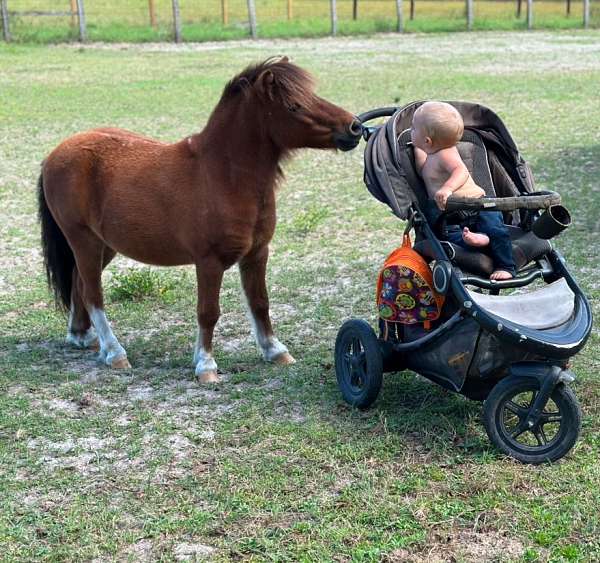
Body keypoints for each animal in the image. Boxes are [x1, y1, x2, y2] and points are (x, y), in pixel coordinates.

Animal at [39, 56, 364, 384]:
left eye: (314, 95)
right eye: (294, 106)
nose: (355, 126)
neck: (223, 176)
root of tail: (55, 155)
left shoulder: (257, 254)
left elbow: (260, 302)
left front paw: (275, 351)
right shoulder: (209, 261)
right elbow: (208, 312)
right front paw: (206, 365)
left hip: (105, 245)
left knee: (78, 283)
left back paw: (83, 337)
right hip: (83, 240)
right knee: (93, 293)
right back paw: (115, 353)